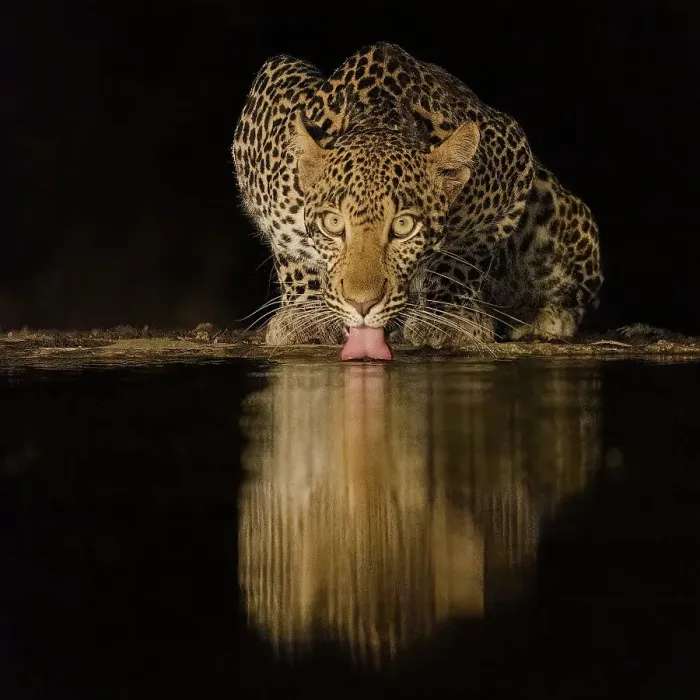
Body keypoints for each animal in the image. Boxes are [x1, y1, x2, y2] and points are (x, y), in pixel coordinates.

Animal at [232, 42, 602, 352]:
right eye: (333, 223)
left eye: (404, 226)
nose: (361, 305)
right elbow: (292, 252)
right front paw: (308, 314)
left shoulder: (513, 164)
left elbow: (463, 257)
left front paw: (448, 317)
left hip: (554, 207)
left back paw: (540, 317)